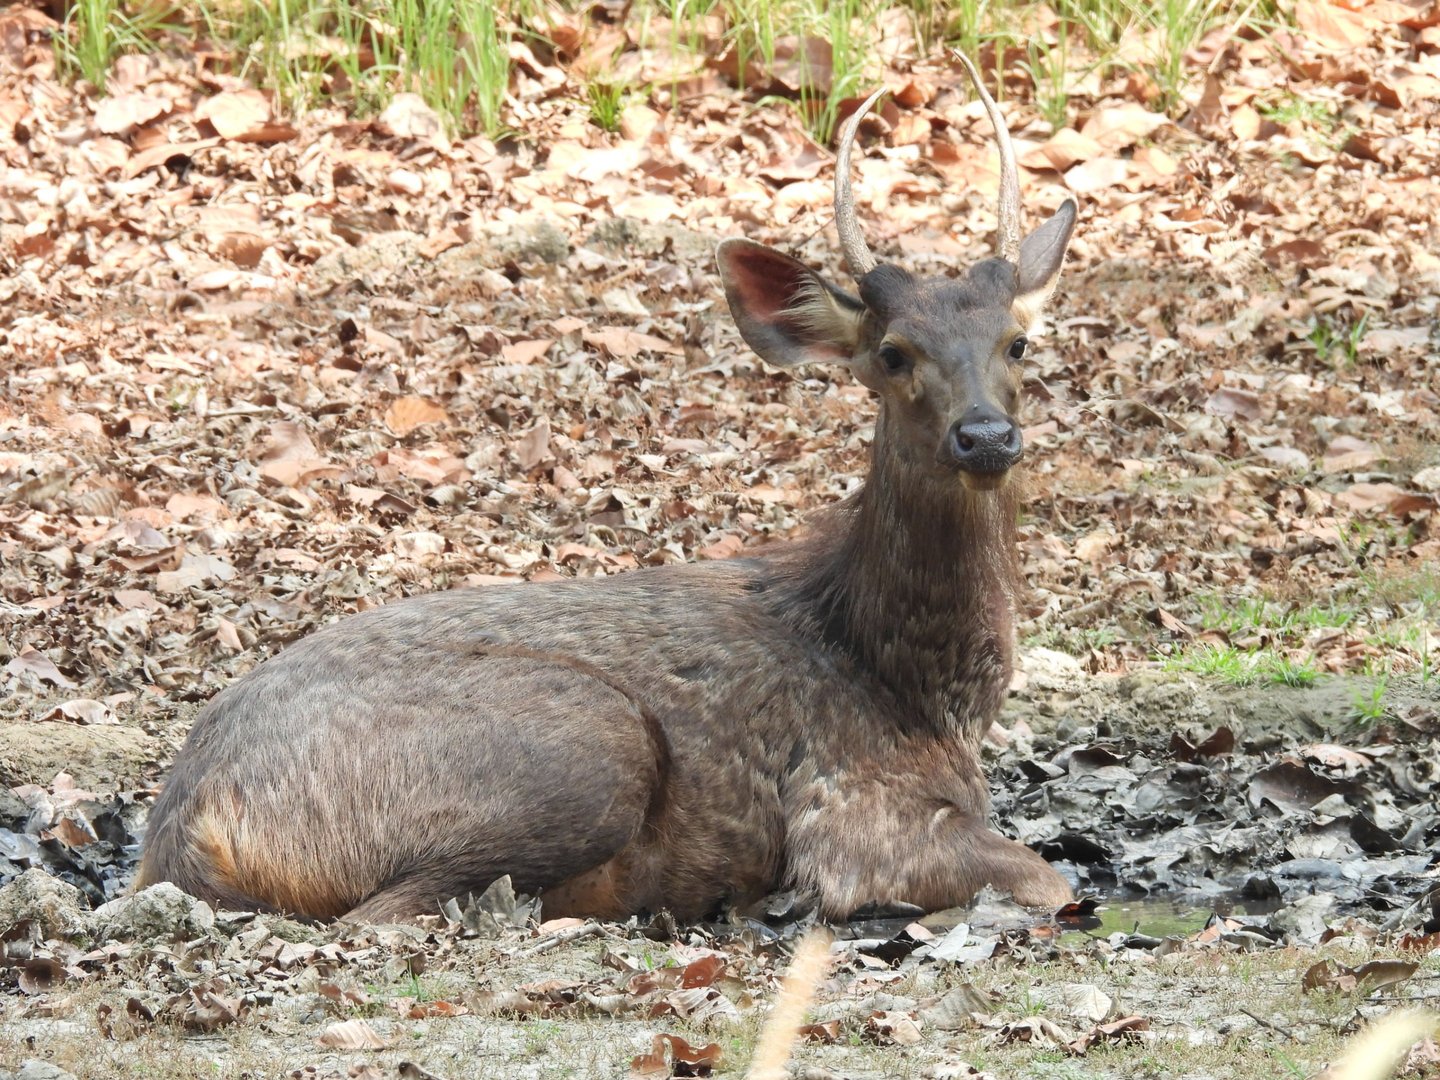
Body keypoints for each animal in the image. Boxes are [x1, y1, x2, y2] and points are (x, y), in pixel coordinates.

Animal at [136, 55, 1078, 924]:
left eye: (1018, 341)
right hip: (592, 739)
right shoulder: (853, 815)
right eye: (892, 353)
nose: (985, 435)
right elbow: (1050, 878)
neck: (915, 694)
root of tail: (183, 827)